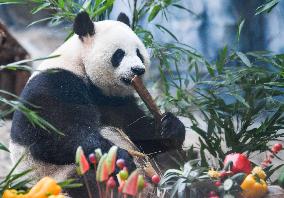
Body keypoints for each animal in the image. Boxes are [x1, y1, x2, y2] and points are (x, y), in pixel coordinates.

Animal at [8, 12, 185, 196]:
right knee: (88, 176)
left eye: (139, 53)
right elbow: (57, 135)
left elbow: (138, 131)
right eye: (119, 54)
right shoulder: (55, 85)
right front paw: (119, 158)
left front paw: (171, 128)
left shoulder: (114, 100)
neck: (80, 65)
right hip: (59, 176)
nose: (138, 70)